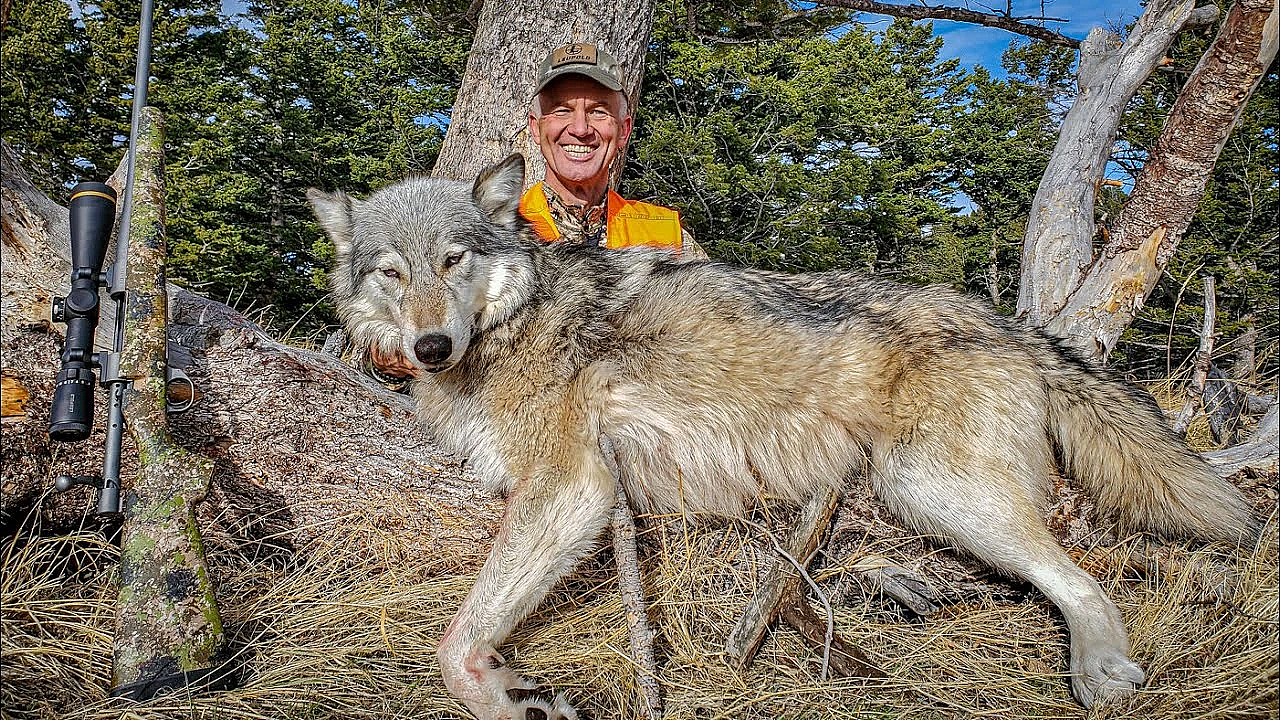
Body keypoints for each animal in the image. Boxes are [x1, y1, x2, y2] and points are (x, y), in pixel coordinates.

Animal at [308, 154, 1258, 720]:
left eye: (454, 260)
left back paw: (1102, 673)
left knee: (1084, 579)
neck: (512, 326)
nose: (431, 347)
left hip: (934, 490)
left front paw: (503, 699)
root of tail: (1010, 323)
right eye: (391, 273)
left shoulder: (573, 488)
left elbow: (453, 647)